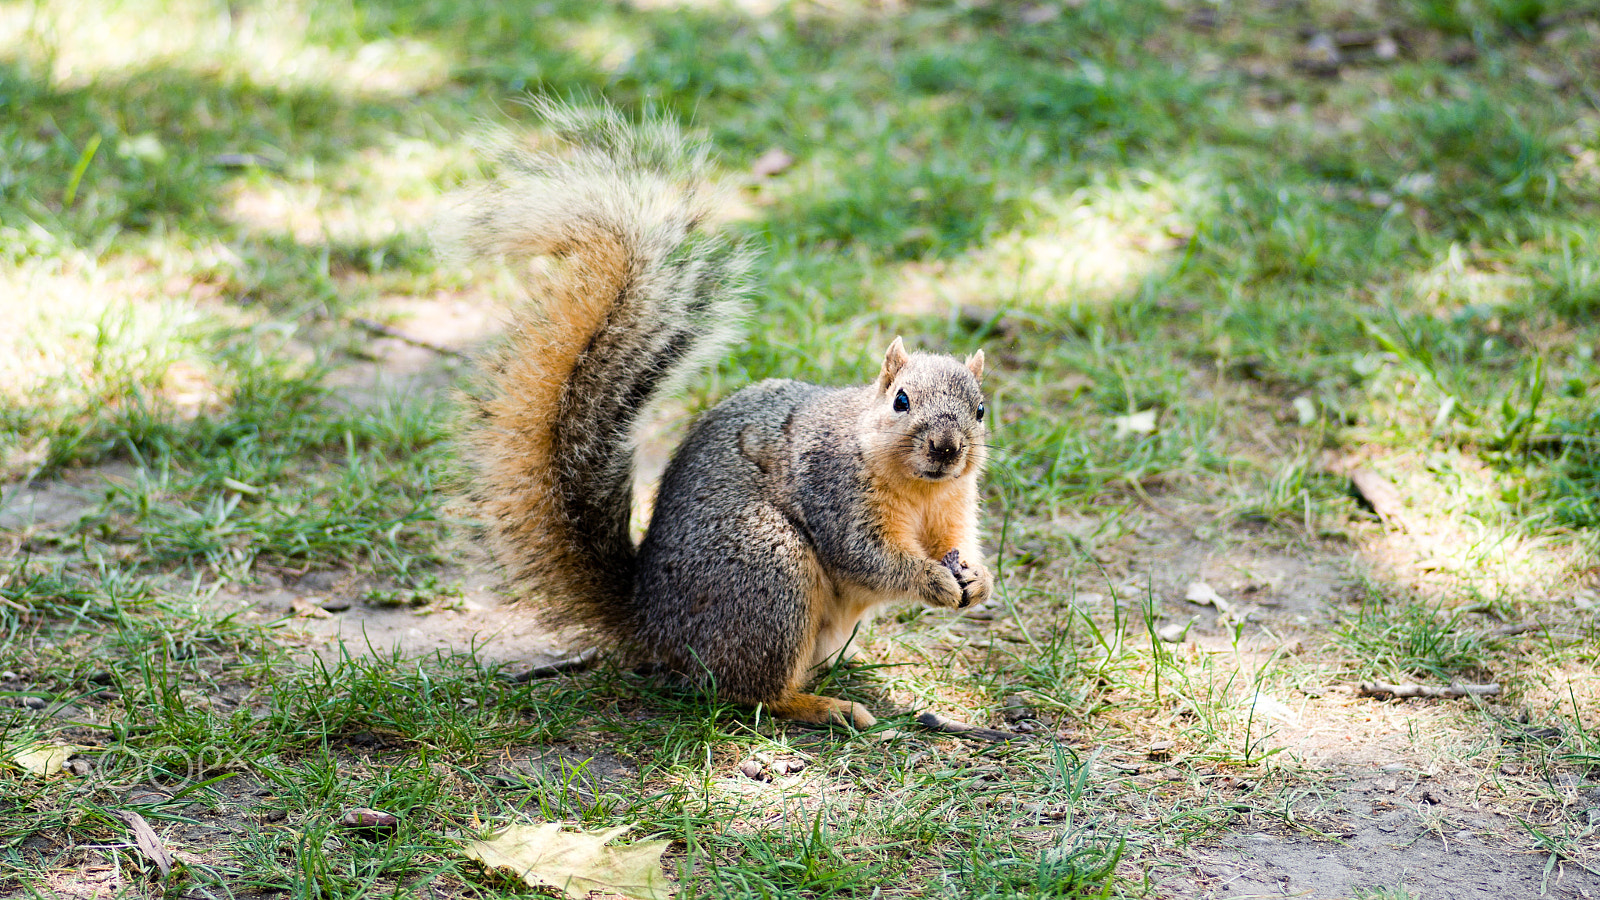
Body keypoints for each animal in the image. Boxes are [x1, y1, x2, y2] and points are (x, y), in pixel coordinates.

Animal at [438, 101, 985, 723]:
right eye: (901, 401)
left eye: (980, 410)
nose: (946, 449)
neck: (919, 487)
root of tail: (650, 627)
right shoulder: (835, 491)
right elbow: (868, 556)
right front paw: (934, 582)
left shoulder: (953, 506)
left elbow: (958, 541)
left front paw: (978, 578)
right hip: (771, 574)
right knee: (752, 691)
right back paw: (825, 706)